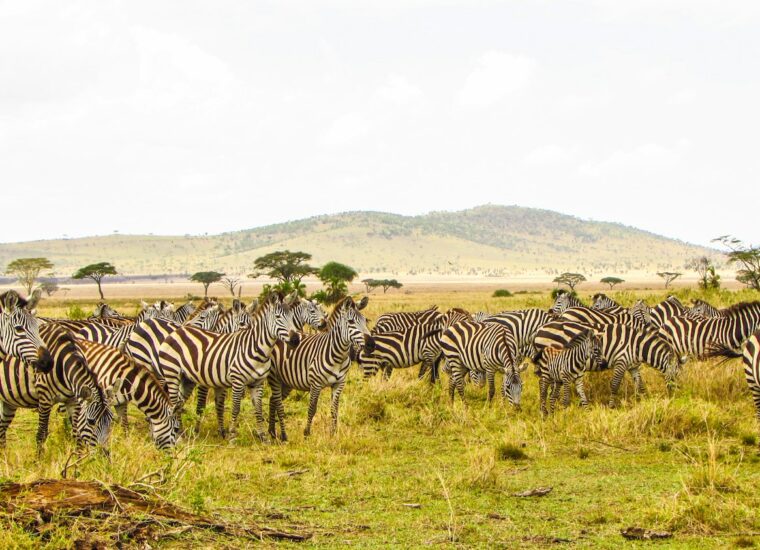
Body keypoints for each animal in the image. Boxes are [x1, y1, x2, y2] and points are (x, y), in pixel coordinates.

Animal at [0, 322, 114, 452]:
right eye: (91, 421)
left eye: (111, 420)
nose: (105, 453)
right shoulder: (45, 399)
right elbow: (42, 434)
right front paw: (39, 457)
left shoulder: (73, 401)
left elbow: (77, 435)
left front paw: (77, 457)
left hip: (8, 402)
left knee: (2, 429)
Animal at [159, 292, 299, 440]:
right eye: (278, 317)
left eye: (292, 317)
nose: (296, 340)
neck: (257, 350)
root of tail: (177, 331)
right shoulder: (237, 381)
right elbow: (234, 408)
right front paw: (232, 436)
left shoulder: (257, 383)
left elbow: (258, 409)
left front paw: (263, 437)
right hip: (172, 373)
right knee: (174, 402)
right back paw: (177, 434)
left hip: (186, 379)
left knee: (179, 402)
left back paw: (180, 431)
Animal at [267, 296, 375, 441]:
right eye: (351, 321)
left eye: (366, 321)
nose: (371, 344)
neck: (338, 355)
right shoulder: (316, 384)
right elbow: (312, 408)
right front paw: (307, 433)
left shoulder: (339, 383)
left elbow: (334, 409)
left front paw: (333, 433)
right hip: (275, 379)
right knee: (275, 400)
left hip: (286, 382)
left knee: (272, 400)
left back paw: (272, 431)